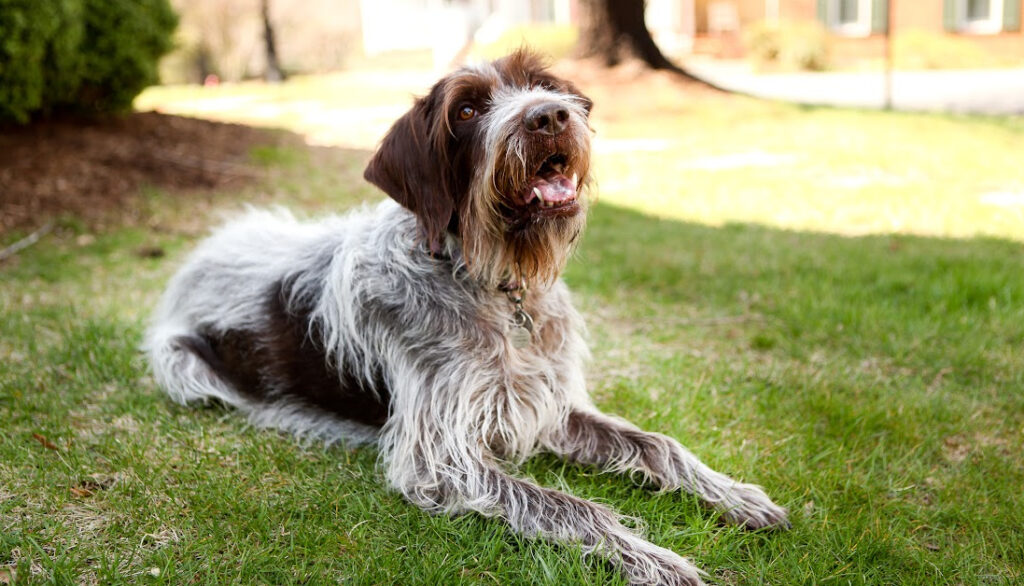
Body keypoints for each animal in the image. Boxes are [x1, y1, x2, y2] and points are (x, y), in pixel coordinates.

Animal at [144, 51, 786, 586]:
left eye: (543, 86)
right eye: (468, 110)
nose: (549, 116)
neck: (497, 288)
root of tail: (196, 256)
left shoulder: (547, 407)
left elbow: (657, 445)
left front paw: (735, 495)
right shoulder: (441, 459)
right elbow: (570, 507)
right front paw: (655, 559)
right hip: (184, 369)